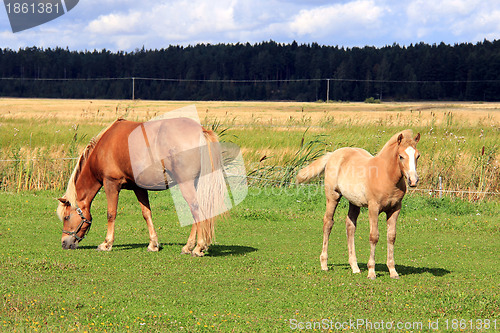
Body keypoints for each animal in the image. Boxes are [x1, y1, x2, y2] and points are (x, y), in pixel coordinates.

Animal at [56, 118, 227, 255]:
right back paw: (190, 246)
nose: (64, 243)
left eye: (66, 217)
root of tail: (201, 131)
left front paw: (106, 243)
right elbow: (146, 214)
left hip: (186, 184)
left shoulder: (111, 184)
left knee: (196, 209)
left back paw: (198, 247)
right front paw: (153, 244)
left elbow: (111, 214)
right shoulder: (139, 188)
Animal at [298, 129, 420, 278]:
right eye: (401, 156)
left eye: (417, 156)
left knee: (350, 226)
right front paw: (372, 272)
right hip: (333, 196)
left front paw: (393, 271)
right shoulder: (373, 208)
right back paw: (324, 264)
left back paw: (354, 267)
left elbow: (391, 237)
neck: (386, 175)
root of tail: (333, 154)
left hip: (354, 202)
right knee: (328, 223)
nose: (413, 180)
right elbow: (374, 236)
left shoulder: (395, 209)